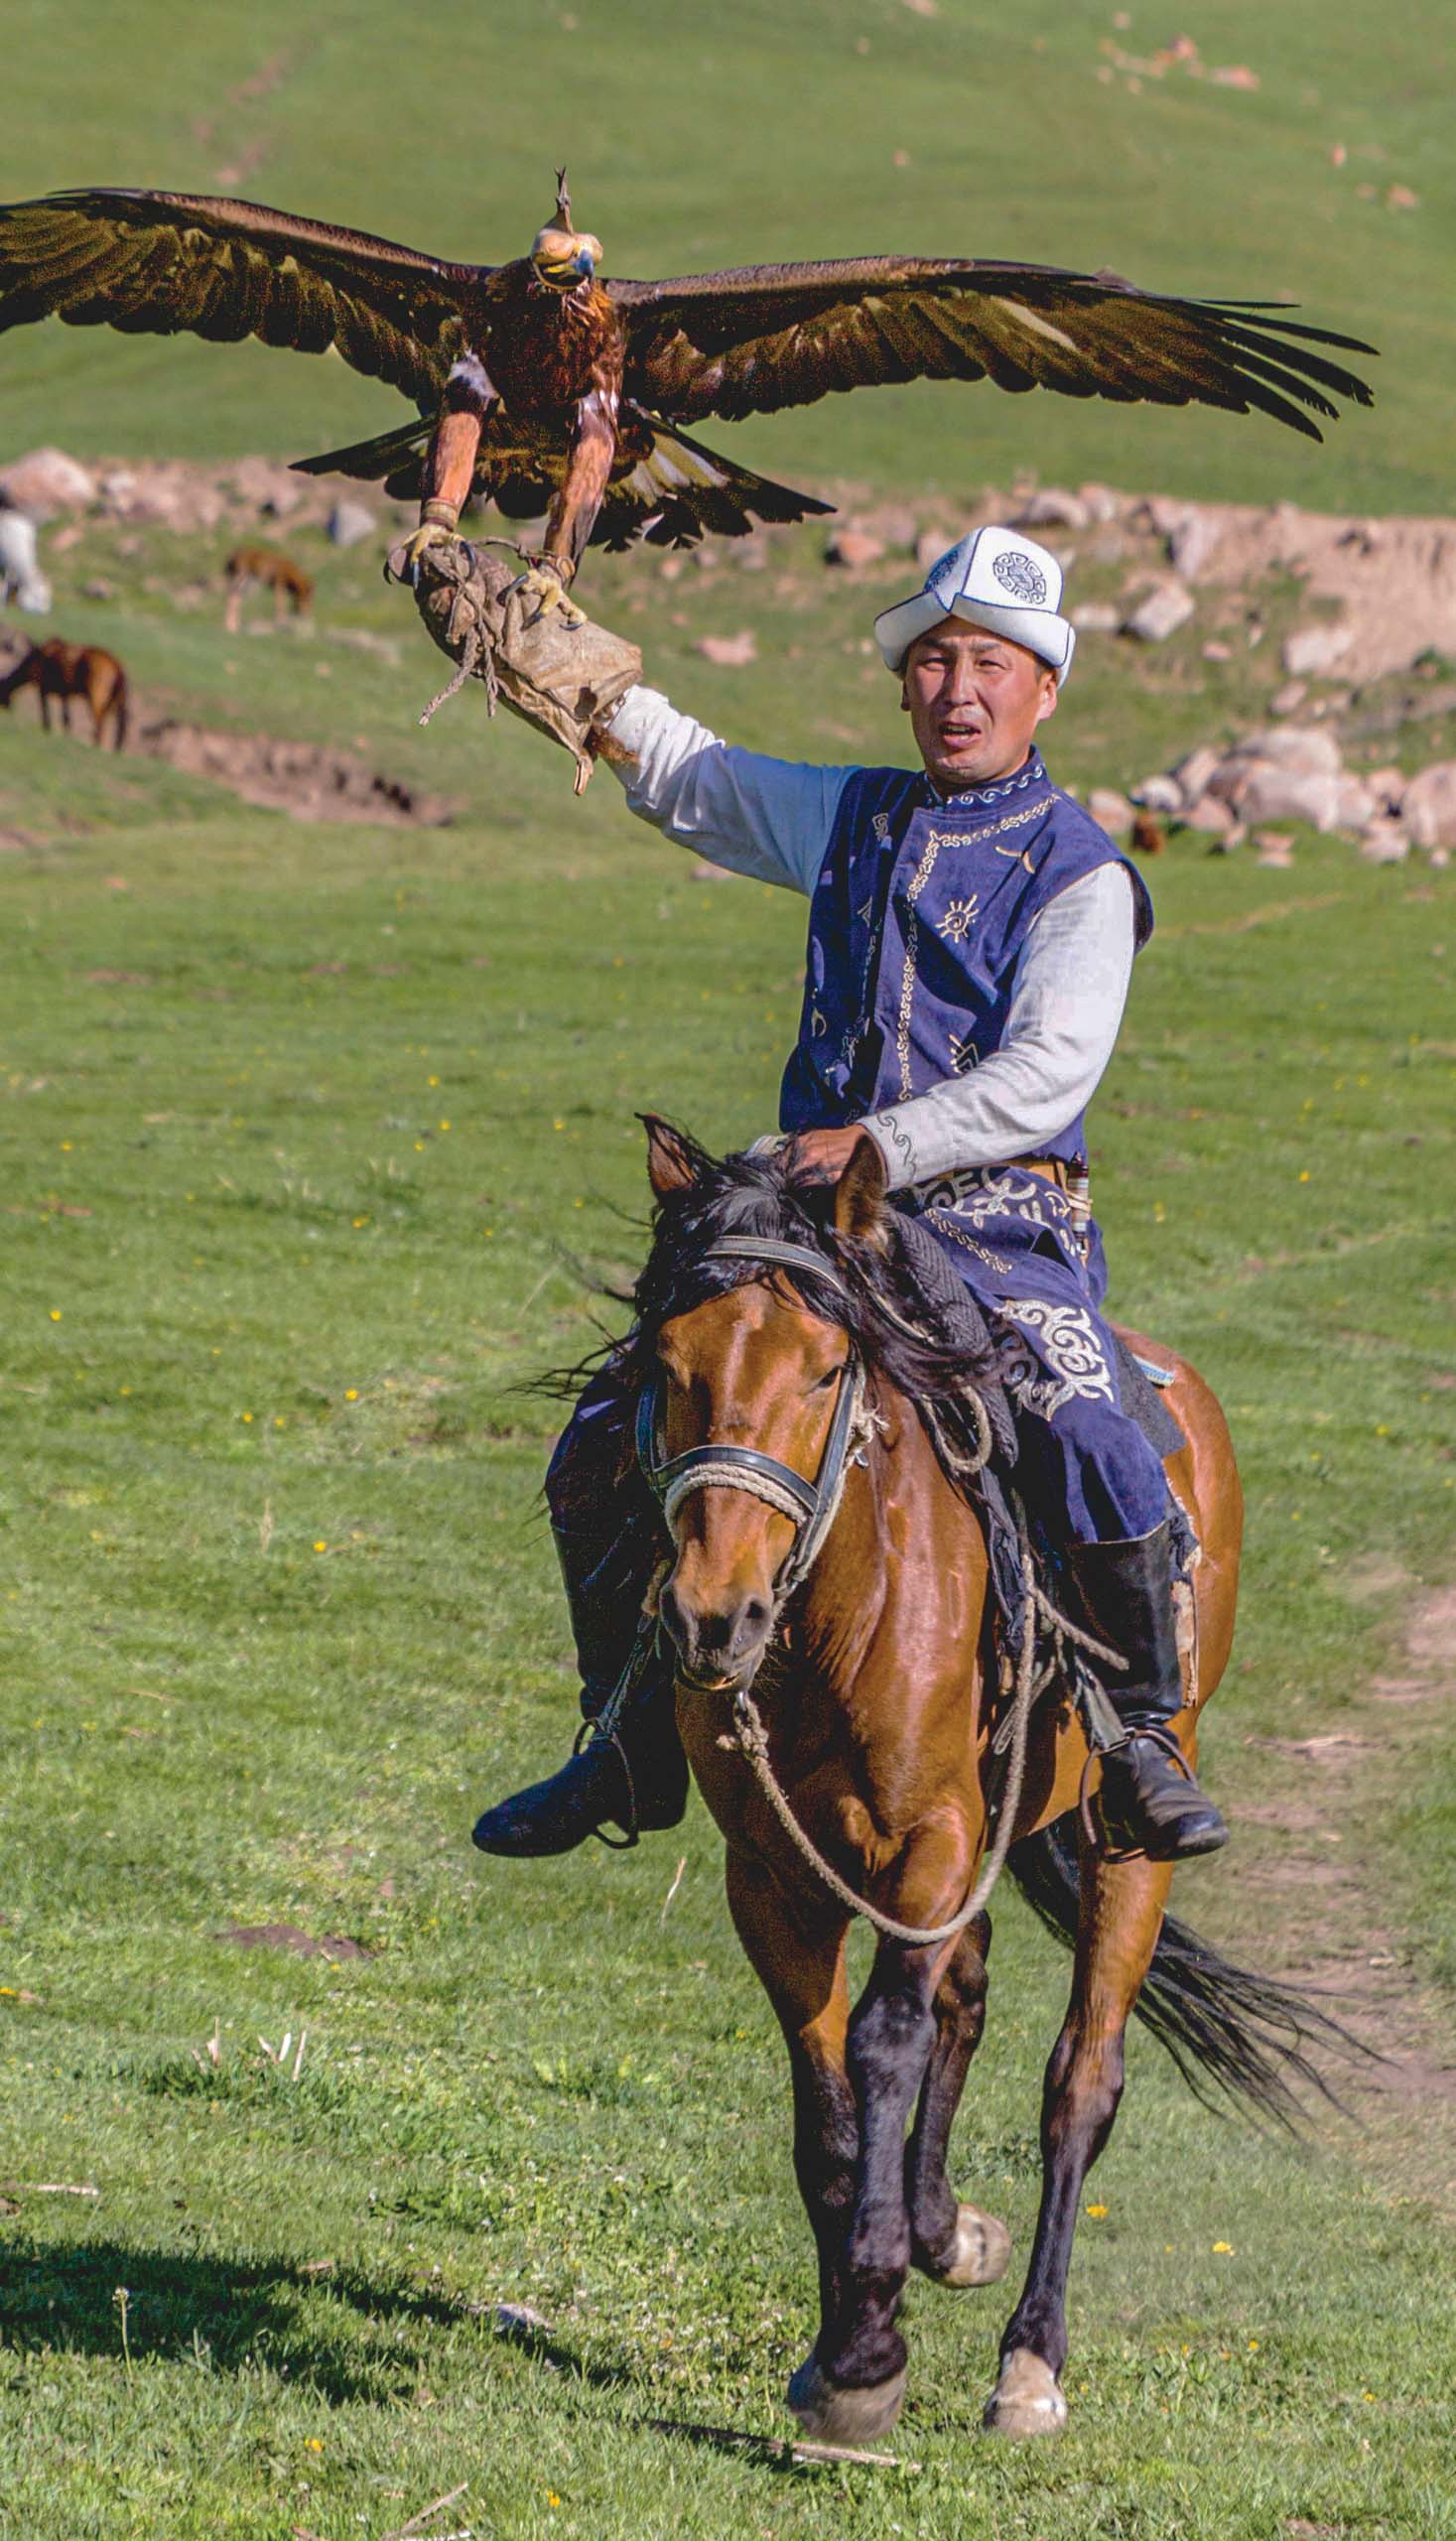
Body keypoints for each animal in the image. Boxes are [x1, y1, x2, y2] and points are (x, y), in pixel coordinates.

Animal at [0, 640, 127, 746]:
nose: (6, 710)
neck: (37, 659)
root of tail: (116, 665)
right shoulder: (64, 694)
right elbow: (66, 718)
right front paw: (66, 735)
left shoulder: (43, 689)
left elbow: (45, 710)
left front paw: (47, 728)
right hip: (110, 704)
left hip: (96, 699)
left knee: (99, 724)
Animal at [619, 1123, 1341, 2449]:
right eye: (671, 1360)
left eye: (824, 1371)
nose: (711, 1617)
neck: (836, 1617)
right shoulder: (773, 1876)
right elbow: (825, 2101)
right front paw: (855, 2321)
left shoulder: (933, 1841)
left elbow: (886, 2043)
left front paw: (865, 2350)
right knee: (973, 1990)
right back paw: (944, 2230)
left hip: (1127, 1840)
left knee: (1079, 2082)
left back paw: (1029, 2359)